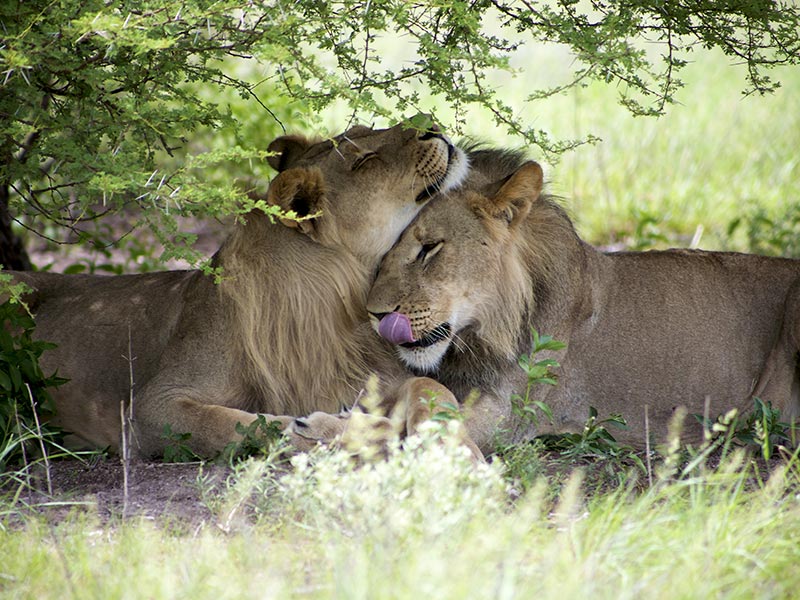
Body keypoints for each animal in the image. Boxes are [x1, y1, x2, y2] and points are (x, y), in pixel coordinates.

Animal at [8, 117, 470, 458]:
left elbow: (433, 388)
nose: (433, 126)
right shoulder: (149, 410)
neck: (331, 304)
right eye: (365, 160)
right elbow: (243, 425)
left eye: (366, 131)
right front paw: (339, 430)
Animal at [366, 148, 800, 451]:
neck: (484, 331)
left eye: (429, 248)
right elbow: (415, 387)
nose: (374, 314)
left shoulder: (511, 414)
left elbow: (429, 393)